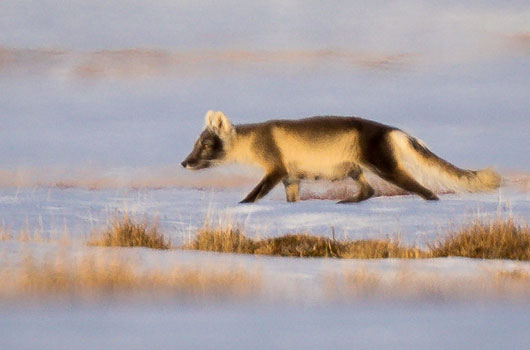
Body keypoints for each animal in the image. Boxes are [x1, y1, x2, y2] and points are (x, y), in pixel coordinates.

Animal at [179, 109, 498, 202]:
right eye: (195, 144)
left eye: (205, 145)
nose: (184, 162)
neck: (254, 139)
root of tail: (393, 129)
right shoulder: (291, 179)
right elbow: (291, 200)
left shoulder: (276, 170)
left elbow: (254, 195)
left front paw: (242, 206)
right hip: (355, 170)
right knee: (368, 191)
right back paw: (348, 202)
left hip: (386, 168)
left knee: (427, 192)